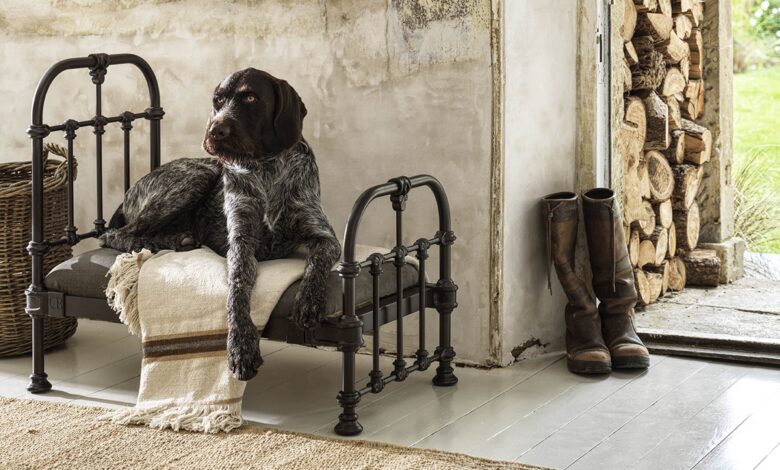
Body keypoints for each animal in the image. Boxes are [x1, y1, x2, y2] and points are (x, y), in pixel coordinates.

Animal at [99, 68, 340, 380]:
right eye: (218, 100)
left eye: (250, 97)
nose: (215, 131)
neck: (267, 167)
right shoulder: (241, 242)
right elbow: (236, 289)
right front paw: (240, 347)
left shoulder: (324, 236)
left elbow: (316, 262)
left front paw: (308, 301)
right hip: (196, 175)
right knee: (114, 234)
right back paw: (158, 242)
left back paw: (179, 239)